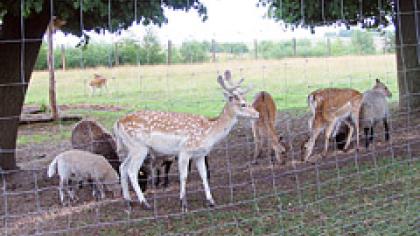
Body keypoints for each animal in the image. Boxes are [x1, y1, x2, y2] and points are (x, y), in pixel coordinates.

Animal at [112, 69, 260, 210]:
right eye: (243, 104)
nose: (257, 113)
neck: (209, 132)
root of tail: (118, 123)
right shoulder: (184, 150)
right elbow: (183, 176)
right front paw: (183, 202)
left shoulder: (200, 154)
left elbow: (204, 175)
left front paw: (211, 201)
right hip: (139, 147)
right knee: (132, 171)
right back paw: (145, 203)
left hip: (130, 148)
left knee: (122, 167)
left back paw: (128, 201)